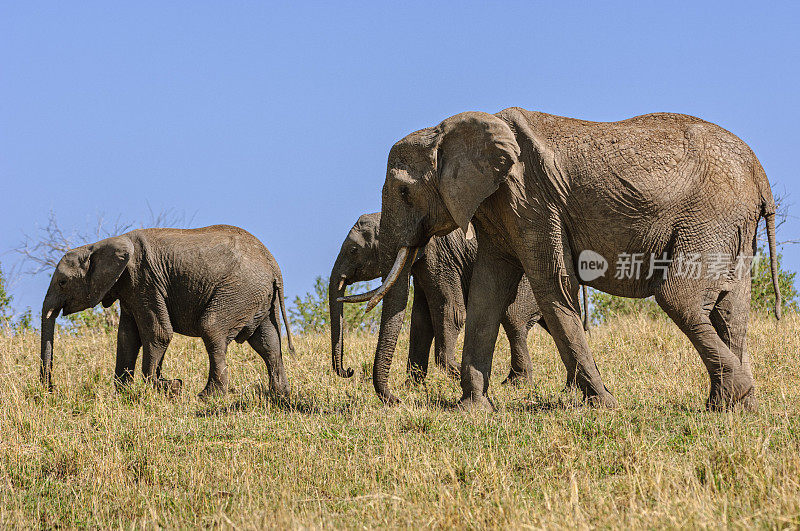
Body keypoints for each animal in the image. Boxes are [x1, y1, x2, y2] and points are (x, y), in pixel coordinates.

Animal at [39, 225, 296, 400]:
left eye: (62, 282)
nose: (50, 390)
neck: (100, 245)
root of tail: (273, 266)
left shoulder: (144, 280)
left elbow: (158, 333)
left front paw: (165, 386)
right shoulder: (130, 288)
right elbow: (127, 337)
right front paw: (122, 393)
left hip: (239, 290)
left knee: (212, 330)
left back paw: (208, 396)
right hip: (257, 296)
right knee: (268, 343)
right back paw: (280, 395)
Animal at [332, 212, 588, 404]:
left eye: (354, 250)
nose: (349, 370)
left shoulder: (439, 258)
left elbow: (450, 312)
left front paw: (455, 372)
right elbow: (421, 320)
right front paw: (413, 388)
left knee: (513, 320)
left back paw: (515, 384)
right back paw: (568, 388)